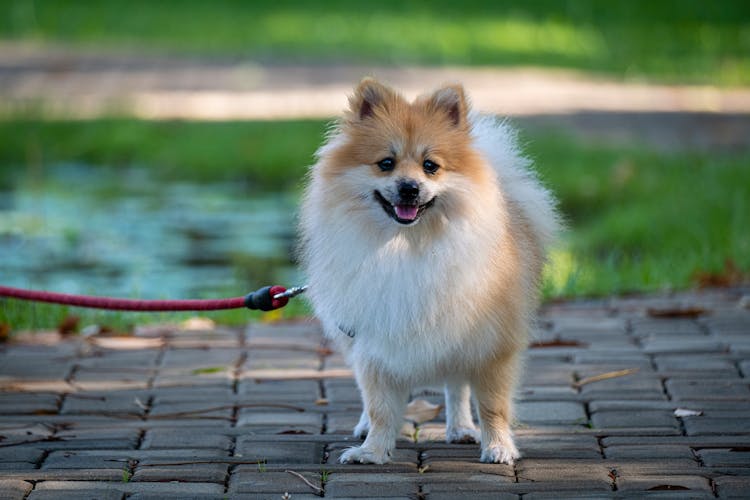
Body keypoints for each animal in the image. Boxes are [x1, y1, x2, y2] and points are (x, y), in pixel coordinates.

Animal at [300, 78, 560, 464]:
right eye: (386, 163)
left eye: (430, 166)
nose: (409, 187)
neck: (408, 245)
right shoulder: (374, 338)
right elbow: (379, 405)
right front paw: (372, 450)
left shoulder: (492, 341)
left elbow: (492, 404)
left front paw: (498, 446)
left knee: (456, 387)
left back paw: (462, 428)